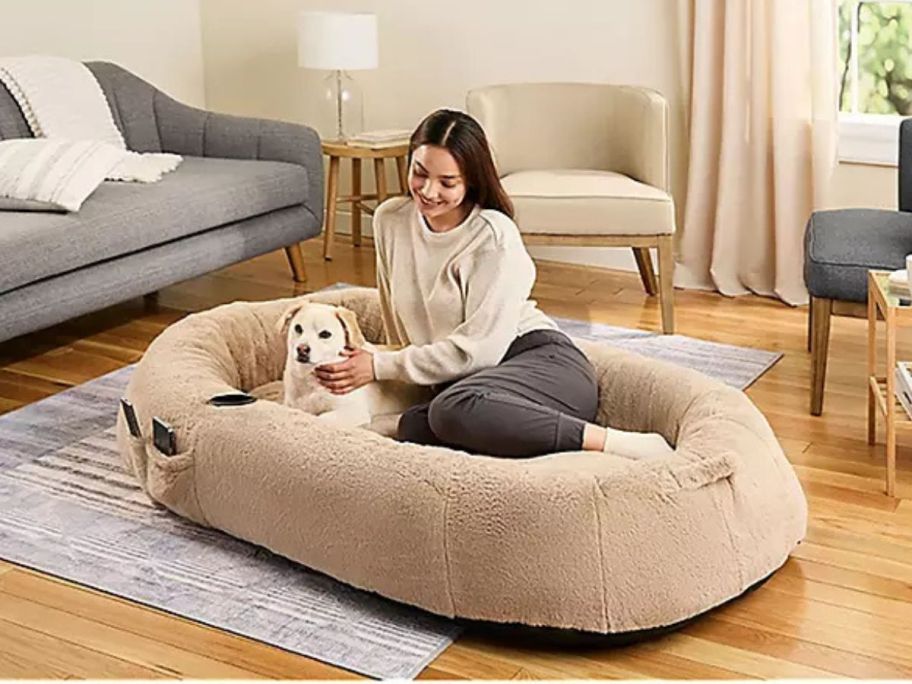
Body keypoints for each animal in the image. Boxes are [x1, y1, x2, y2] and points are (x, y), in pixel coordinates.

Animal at [276, 300, 430, 432]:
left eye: (325, 334)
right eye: (298, 328)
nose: (302, 349)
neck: (308, 377)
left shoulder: (354, 412)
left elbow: (320, 417)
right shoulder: (290, 405)